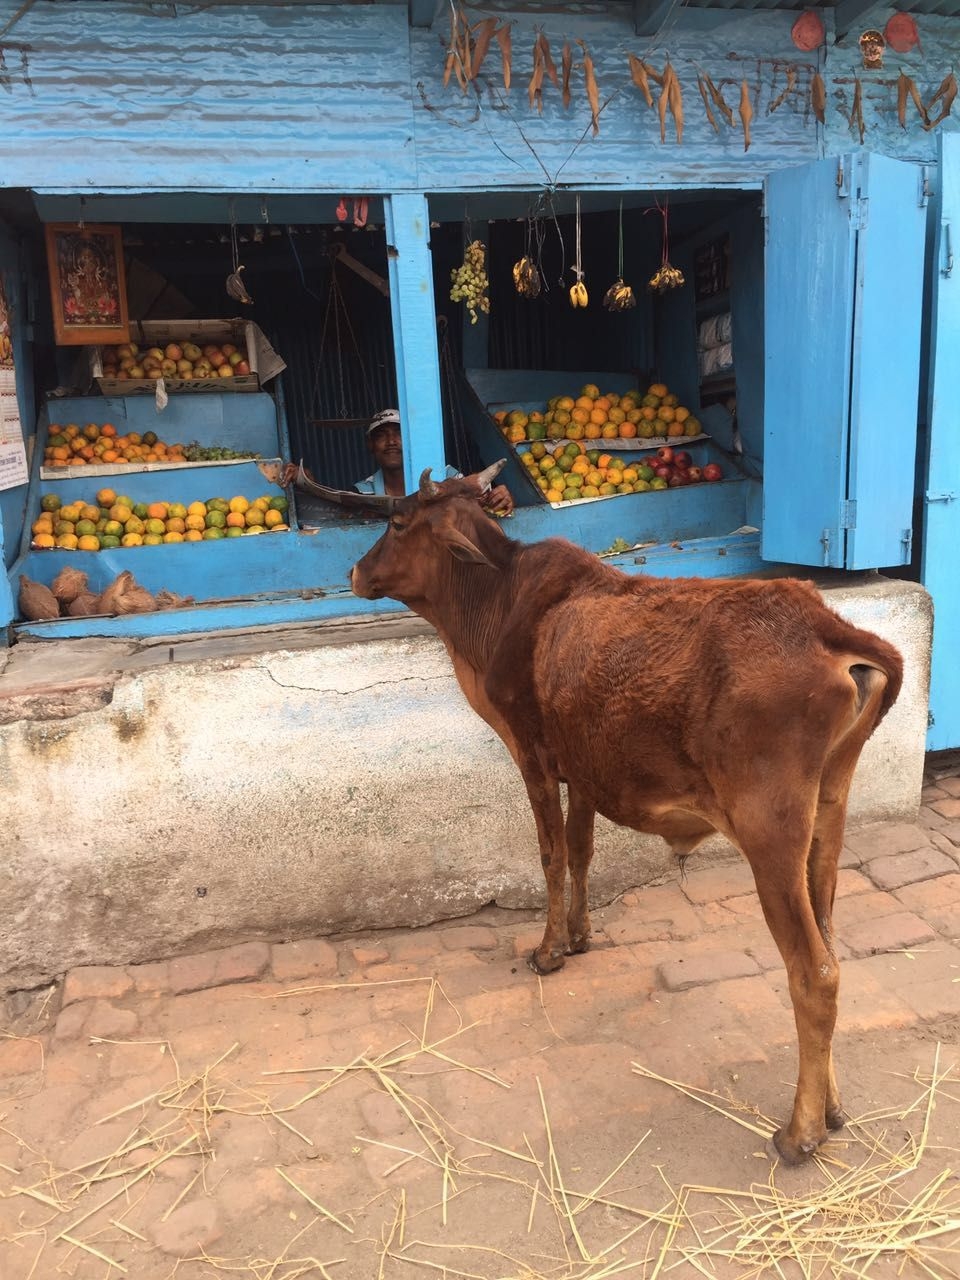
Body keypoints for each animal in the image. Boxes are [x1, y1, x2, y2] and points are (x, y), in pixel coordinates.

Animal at [350, 460, 906, 1162]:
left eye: (397, 522)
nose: (355, 572)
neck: (498, 604)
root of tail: (827, 628)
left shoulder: (532, 755)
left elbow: (551, 855)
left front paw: (549, 950)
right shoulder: (586, 766)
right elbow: (582, 850)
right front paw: (581, 935)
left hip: (770, 830)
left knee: (816, 972)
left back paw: (800, 1130)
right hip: (828, 813)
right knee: (833, 947)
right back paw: (830, 1109)